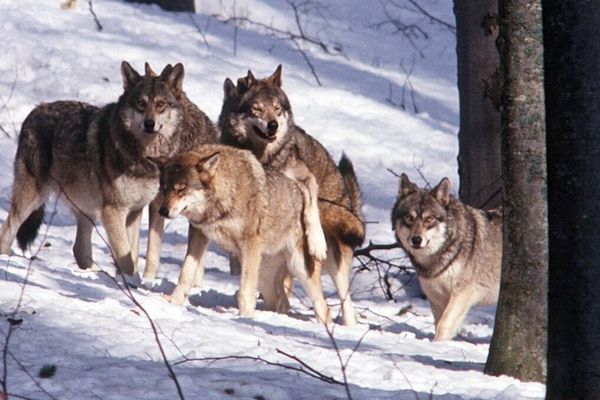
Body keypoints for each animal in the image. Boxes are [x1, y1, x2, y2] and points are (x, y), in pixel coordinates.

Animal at [0, 61, 219, 276]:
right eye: (140, 103)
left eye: (160, 104)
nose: (149, 123)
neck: (144, 158)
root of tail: (34, 111)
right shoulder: (114, 211)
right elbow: (126, 259)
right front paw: (132, 282)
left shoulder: (135, 211)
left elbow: (131, 255)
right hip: (31, 201)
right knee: (7, 231)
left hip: (85, 210)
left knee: (79, 248)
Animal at [157, 144, 330, 322]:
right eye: (164, 188)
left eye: (182, 189)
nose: (162, 211)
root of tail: (298, 192)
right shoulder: (198, 234)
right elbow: (185, 273)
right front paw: (173, 301)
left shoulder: (249, 244)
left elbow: (245, 291)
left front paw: (244, 318)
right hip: (264, 277)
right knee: (280, 301)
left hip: (298, 268)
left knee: (323, 308)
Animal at [217, 63, 364, 324]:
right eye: (257, 108)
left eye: (277, 109)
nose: (273, 124)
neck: (264, 155)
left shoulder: (305, 179)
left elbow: (311, 208)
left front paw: (316, 242)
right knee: (280, 289)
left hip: (336, 263)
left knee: (345, 302)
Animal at [392, 173, 504, 340]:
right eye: (409, 218)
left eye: (429, 219)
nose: (416, 240)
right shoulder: (437, 298)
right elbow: (438, 324)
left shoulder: (462, 293)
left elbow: (443, 325)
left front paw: (437, 345)